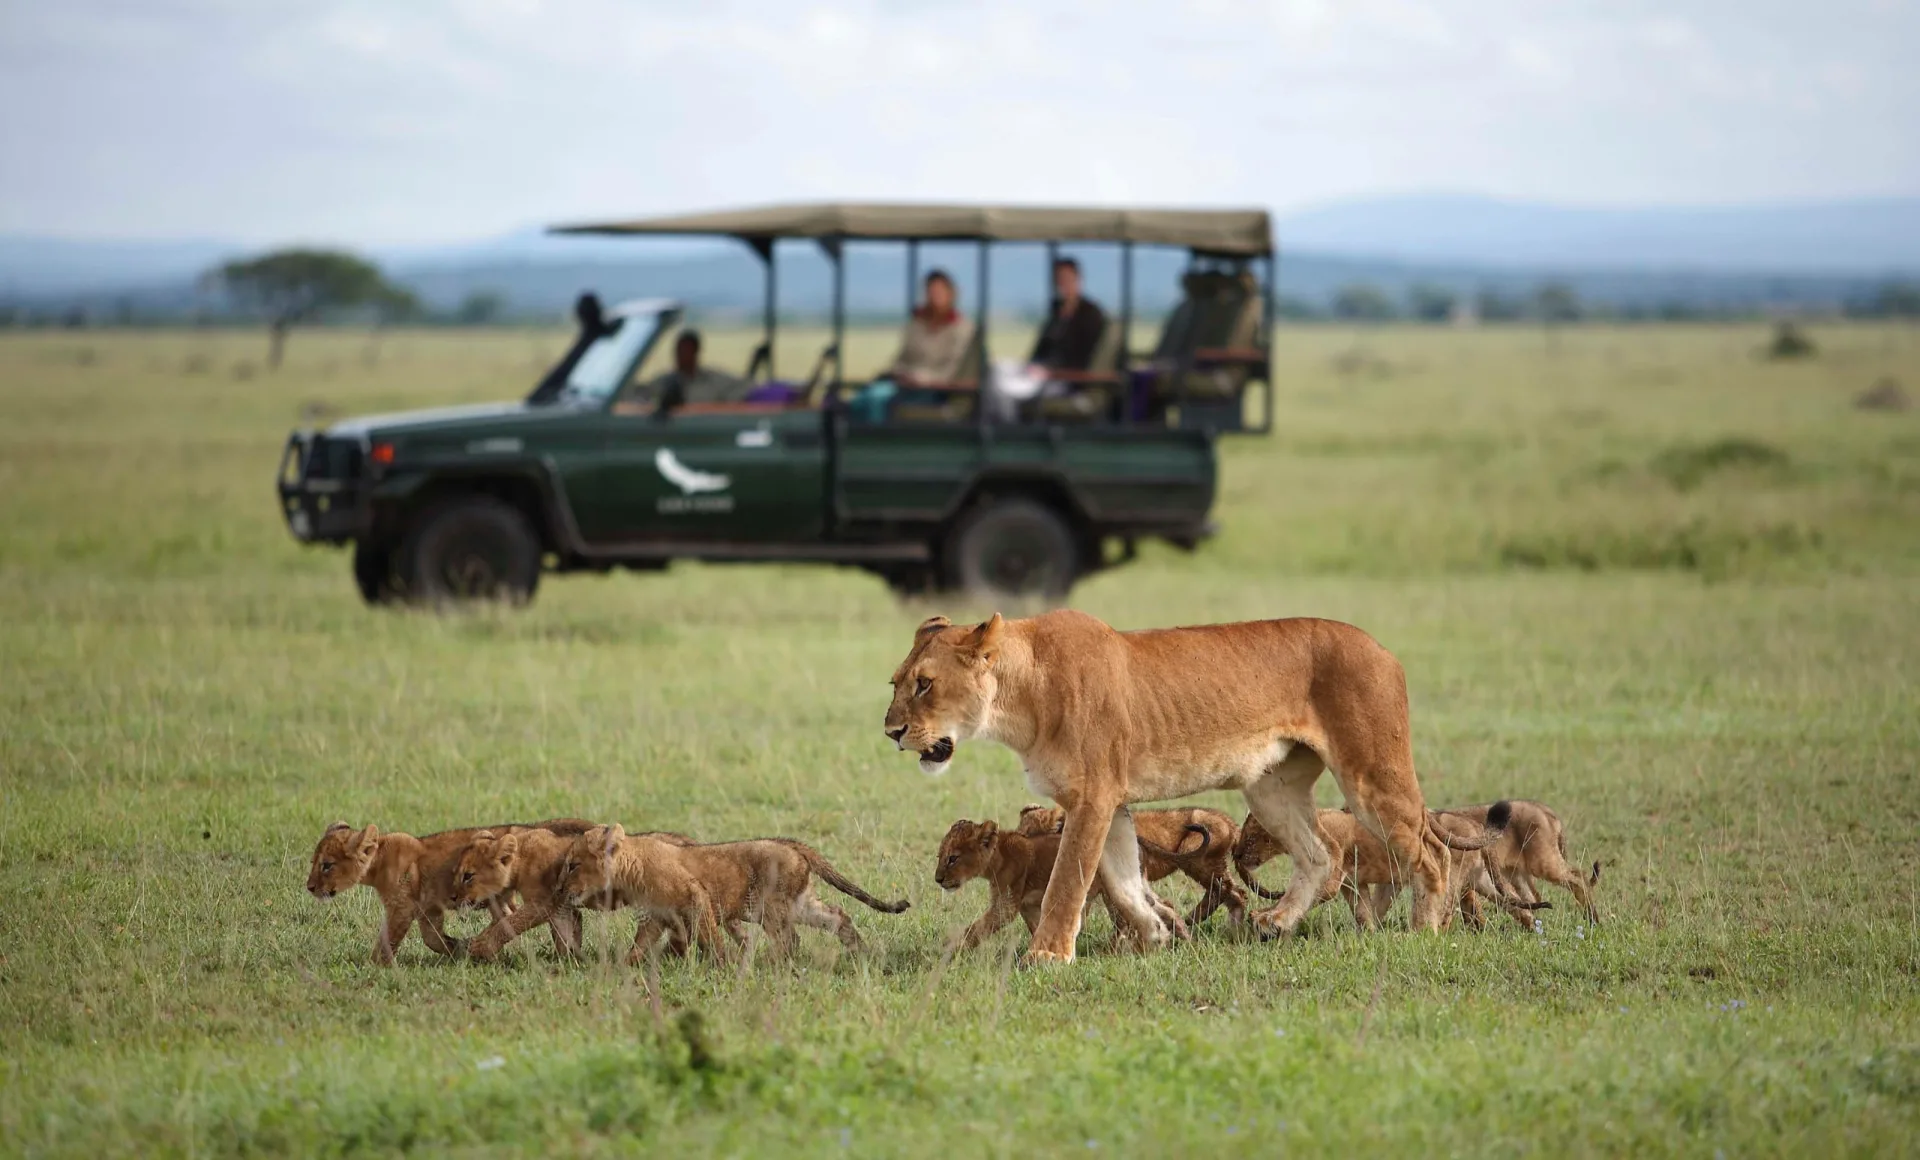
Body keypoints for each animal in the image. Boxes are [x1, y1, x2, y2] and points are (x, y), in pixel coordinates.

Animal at [305, 817, 594, 965]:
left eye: (327, 865)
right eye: (313, 862)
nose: (309, 887)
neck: (379, 861)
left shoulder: (401, 908)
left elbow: (387, 941)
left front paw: (373, 967)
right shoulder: (427, 909)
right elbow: (432, 939)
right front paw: (459, 948)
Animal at [454, 827, 695, 962]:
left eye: (468, 876)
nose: (453, 898)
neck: (521, 858)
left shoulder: (544, 903)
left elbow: (510, 924)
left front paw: (481, 947)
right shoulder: (562, 905)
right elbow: (565, 931)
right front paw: (567, 959)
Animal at [560, 824, 909, 965]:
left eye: (573, 865)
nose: (560, 889)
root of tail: (793, 845)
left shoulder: (696, 897)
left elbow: (710, 938)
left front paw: (723, 965)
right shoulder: (657, 917)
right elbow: (640, 946)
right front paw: (624, 966)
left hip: (771, 906)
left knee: (790, 940)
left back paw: (766, 964)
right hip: (800, 903)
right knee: (837, 916)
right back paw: (861, 952)